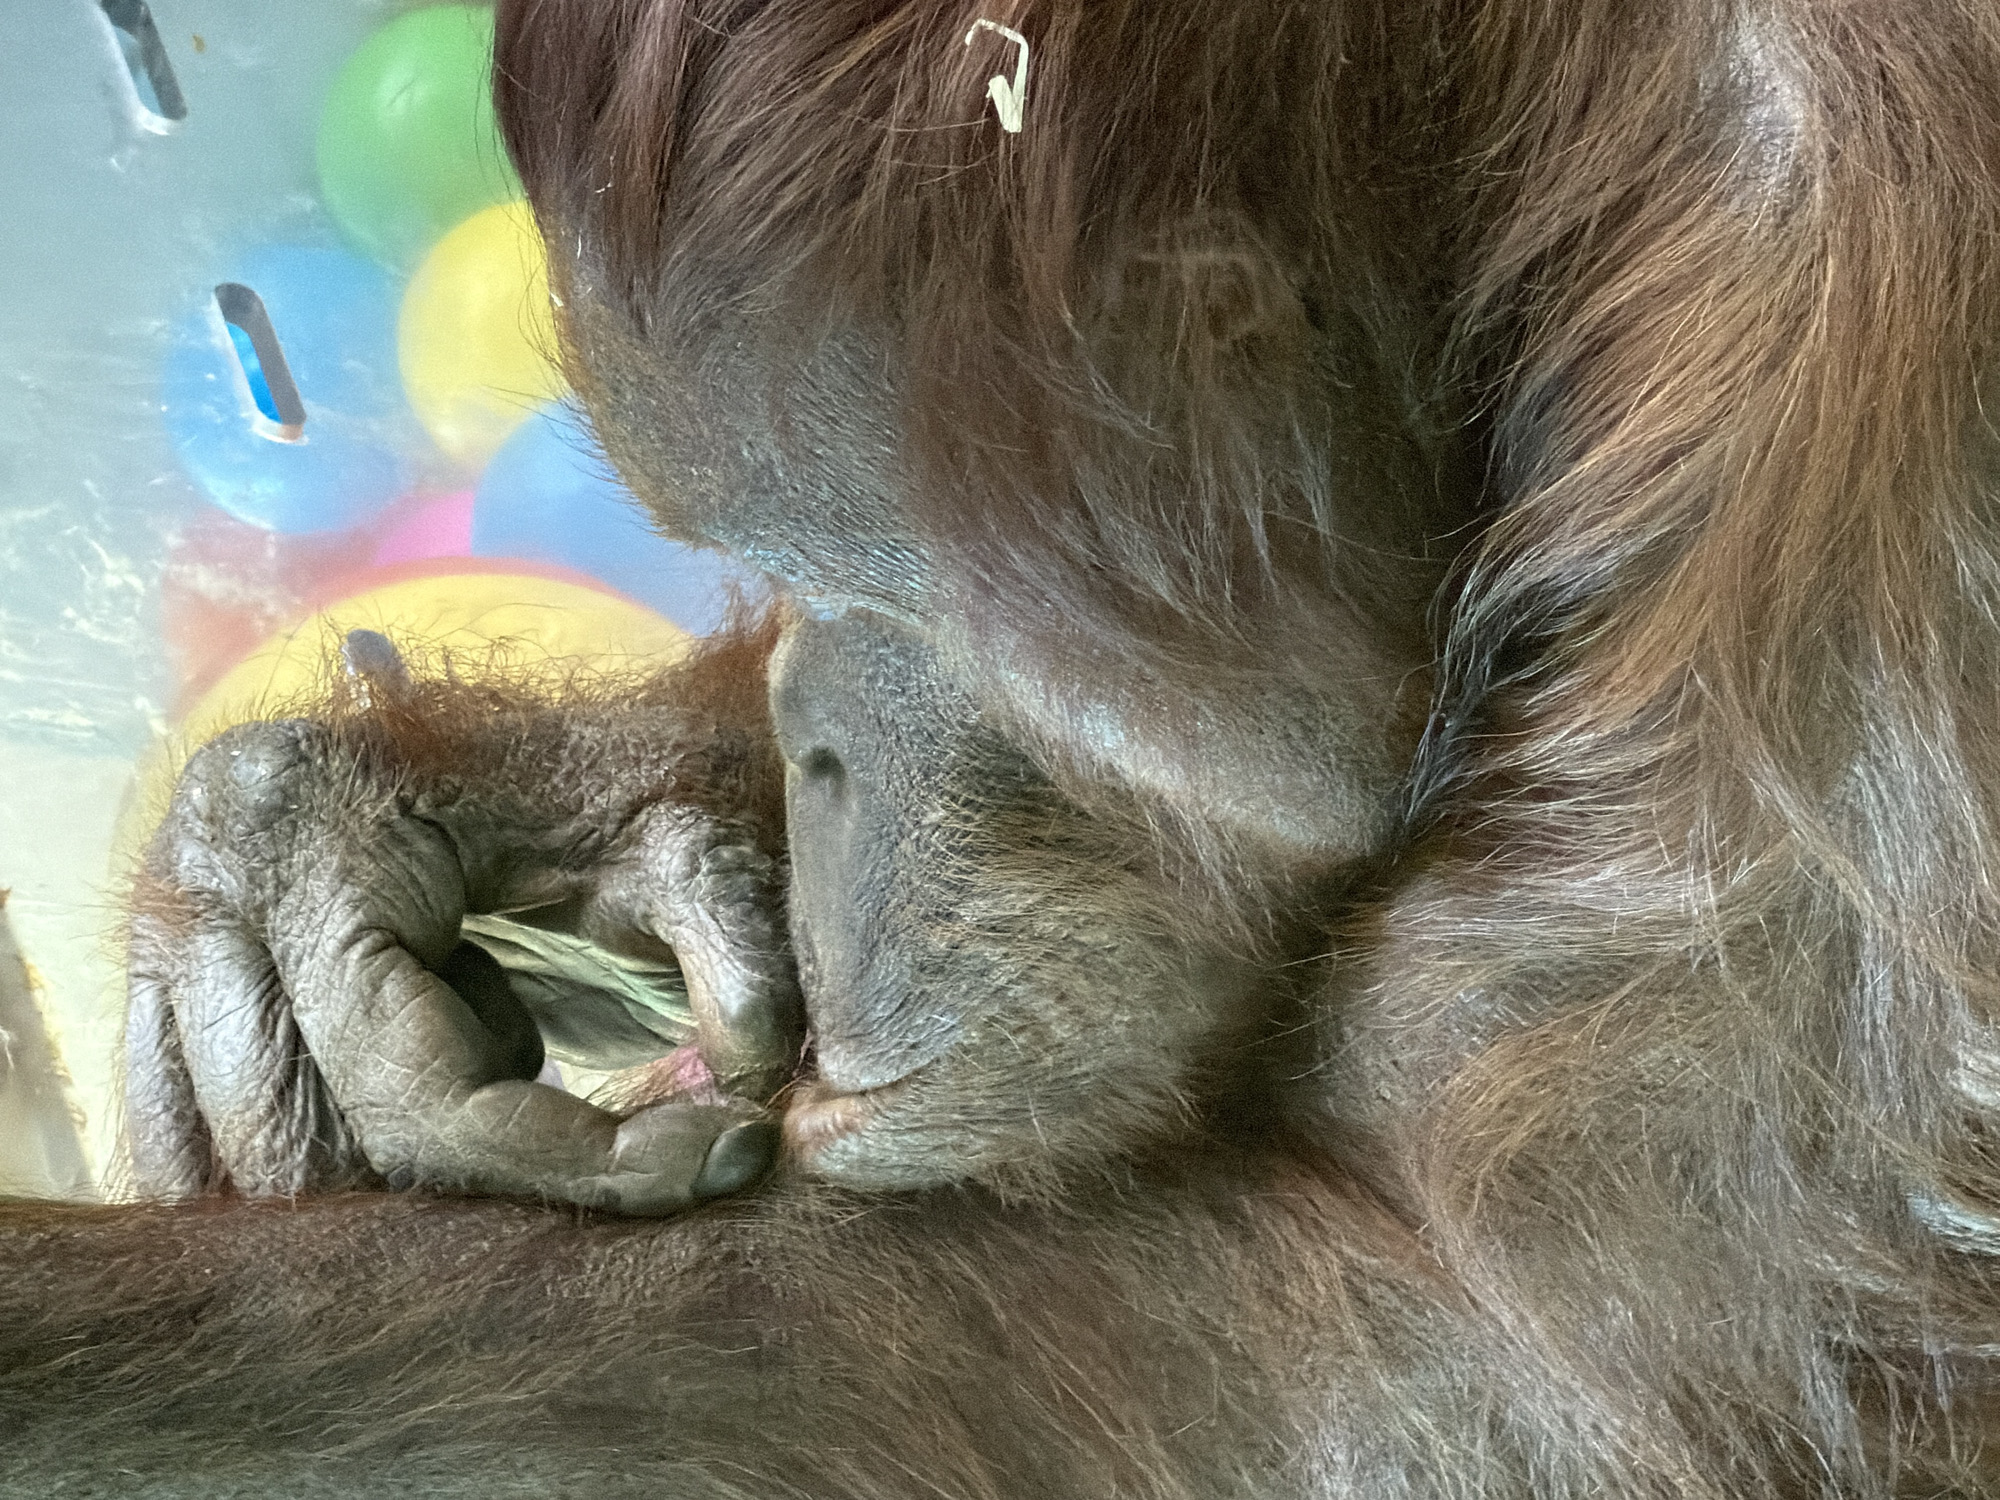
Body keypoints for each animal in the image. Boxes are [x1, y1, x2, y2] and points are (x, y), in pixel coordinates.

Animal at [6, 0, 2000, 1494]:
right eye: (768, 572)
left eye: (856, 582)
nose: (808, 741)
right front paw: (317, 844)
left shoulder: (1851, 512)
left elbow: (1484, 1393)